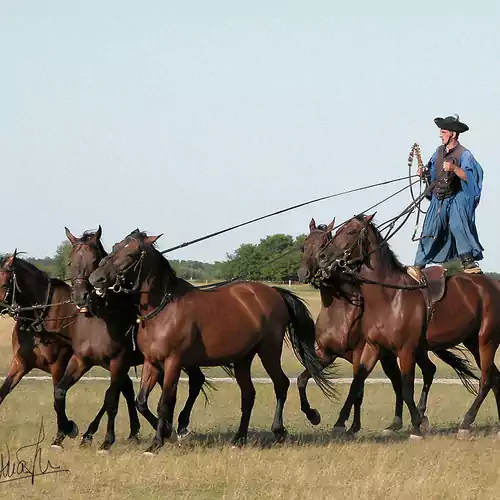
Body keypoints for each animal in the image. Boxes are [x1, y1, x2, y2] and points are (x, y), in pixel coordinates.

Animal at [0, 250, 139, 446]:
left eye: (4, 283)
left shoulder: (58, 365)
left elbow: (58, 398)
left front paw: (65, 430)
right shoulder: (21, 363)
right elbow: (3, 392)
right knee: (126, 387)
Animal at [64, 228, 215, 450]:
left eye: (94, 260)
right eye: (71, 260)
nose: (81, 295)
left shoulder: (119, 362)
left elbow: (111, 398)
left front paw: (106, 440)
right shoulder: (82, 360)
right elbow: (62, 390)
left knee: (196, 381)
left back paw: (180, 427)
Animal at [89, 229, 336, 454]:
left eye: (131, 254)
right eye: (115, 247)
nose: (95, 278)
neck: (164, 308)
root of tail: (273, 292)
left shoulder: (173, 362)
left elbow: (164, 402)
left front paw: (157, 442)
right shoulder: (152, 362)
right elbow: (141, 401)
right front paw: (168, 432)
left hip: (269, 351)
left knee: (281, 384)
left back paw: (280, 429)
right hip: (243, 359)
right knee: (249, 394)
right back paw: (239, 438)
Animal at [316, 215, 500, 438]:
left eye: (351, 232)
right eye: (338, 230)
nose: (323, 256)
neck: (390, 296)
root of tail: (493, 285)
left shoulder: (406, 350)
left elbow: (405, 388)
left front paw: (416, 426)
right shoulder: (373, 347)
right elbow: (357, 382)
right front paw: (340, 423)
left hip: (487, 341)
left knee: (486, 380)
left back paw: (466, 422)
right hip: (473, 343)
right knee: (495, 378)